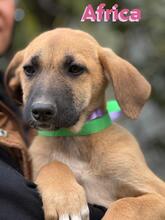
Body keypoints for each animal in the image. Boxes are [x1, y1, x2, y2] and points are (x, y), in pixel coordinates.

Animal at [5, 28, 165, 219]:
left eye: (75, 69)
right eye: (29, 69)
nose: (41, 111)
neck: (76, 139)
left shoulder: (157, 191)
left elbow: (126, 204)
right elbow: (53, 164)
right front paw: (65, 200)